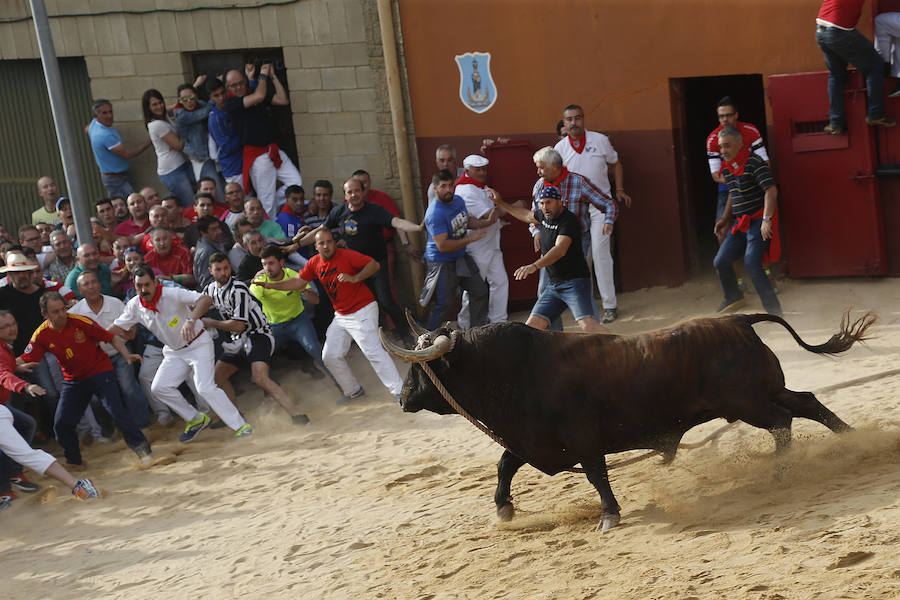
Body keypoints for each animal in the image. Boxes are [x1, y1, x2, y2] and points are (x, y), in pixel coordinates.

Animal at [384, 312, 876, 532]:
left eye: (419, 368)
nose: (402, 399)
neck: (513, 369)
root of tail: (736, 319)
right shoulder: (534, 442)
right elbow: (506, 464)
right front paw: (504, 508)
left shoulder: (581, 441)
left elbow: (597, 476)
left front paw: (609, 516)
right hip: (762, 393)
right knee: (807, 404)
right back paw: (854, 442)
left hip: (749, 402)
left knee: (782, 421)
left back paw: (782, 472)